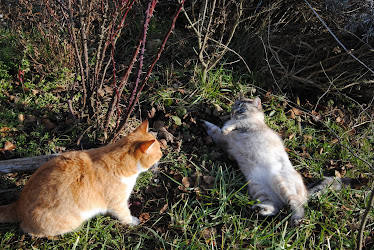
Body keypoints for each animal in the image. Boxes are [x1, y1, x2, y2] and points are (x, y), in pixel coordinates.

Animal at [0, 120, 162, 237]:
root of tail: (18, 205)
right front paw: (133, 221)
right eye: (158, 152)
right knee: (31, 231)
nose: (163, 153)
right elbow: (125, 215)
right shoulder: (118, 203)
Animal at [203, 94, 356, 227]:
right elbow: (214, 129)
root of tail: (306, 191)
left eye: (242, 109)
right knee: (275, 207)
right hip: (259, 189)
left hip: (279, 182)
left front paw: (225, 126)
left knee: (297, 205)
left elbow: (234, 123)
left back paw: (296, 220)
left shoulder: (246, 125)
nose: (233, 112)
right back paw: (259, 209)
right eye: (233, 106)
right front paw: (204, 122)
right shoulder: (224, 141)